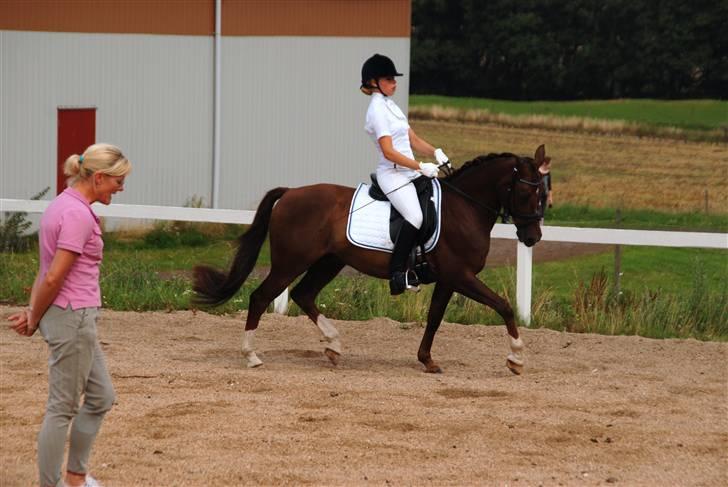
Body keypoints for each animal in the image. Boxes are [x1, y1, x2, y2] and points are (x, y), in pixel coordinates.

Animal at [191, 145, 548, 374]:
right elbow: (504, 306)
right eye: (525, 193)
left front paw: (426, 360)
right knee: (261, 297)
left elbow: (434, 317)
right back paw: (252, 356)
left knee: (303, 294)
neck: (464, 209)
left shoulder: (449, 279)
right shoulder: (460, 275)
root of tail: (290, 192)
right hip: (290, 262)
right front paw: (516, 359)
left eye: (543, 193)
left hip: (329, 262)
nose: (532, 238)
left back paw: (333, 346)